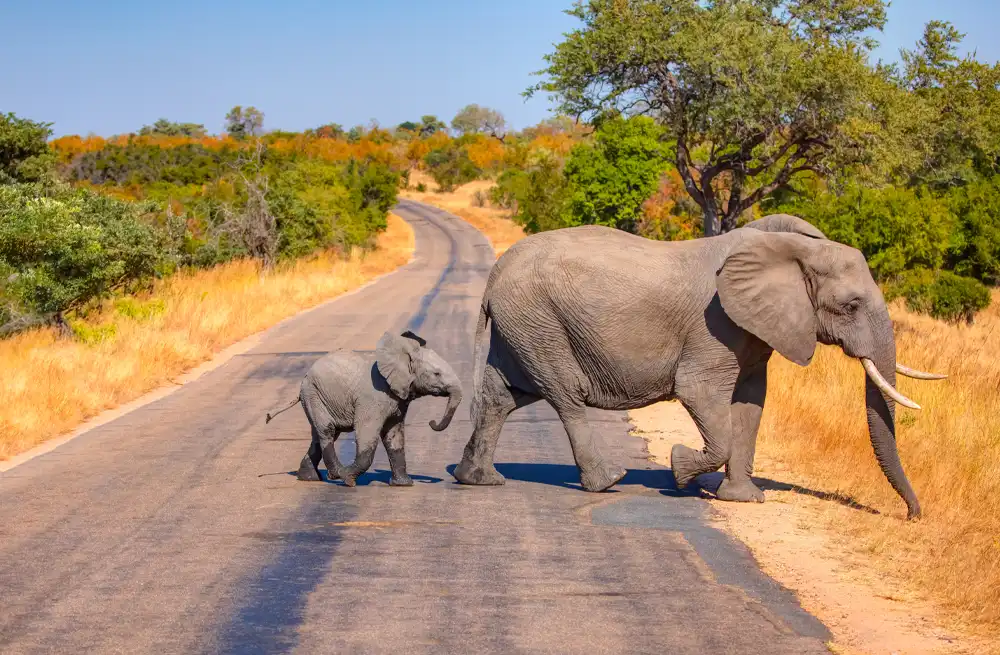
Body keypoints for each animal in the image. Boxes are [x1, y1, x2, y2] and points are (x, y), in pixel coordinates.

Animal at [266, 330, 462, 487]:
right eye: (436, 374)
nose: (432, 422)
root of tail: (304, 378)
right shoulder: (373, 398)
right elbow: (367, 433)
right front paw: (348, 480)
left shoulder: (398, 399)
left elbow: (394, 435)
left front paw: (404, 484)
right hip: (313, 394)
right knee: (327, 431)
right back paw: (336, 474)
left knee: (319, 435)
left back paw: (308, 477)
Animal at [453, 214, 945, 519]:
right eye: (851, 305)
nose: (912, 516)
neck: (790, 251)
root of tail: (493, 277)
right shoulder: (715, 328)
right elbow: (700, 394)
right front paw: (678, 468)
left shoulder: (753, 332)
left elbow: (751, 405)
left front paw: (744, 499)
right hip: (540, 323)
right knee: (566, 395)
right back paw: (609, 481)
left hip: (523, 327)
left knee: (502, 397)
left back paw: (478, 480)